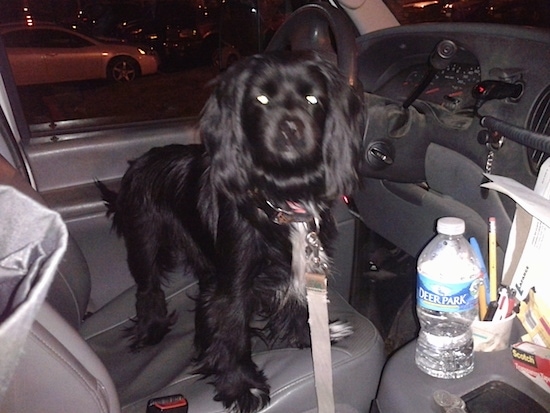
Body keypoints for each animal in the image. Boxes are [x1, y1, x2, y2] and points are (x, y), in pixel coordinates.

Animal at [98, 51, 366, 412]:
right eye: (261, 99)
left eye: (313, 99)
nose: (290, 128)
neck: (280, 193)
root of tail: (138, 164)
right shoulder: (235, 282)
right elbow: (233, 330)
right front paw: (241, 386)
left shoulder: (298, 264)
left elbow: (297, 304)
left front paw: (305, 338)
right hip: (145, 242)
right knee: (148, 289)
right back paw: (151, 329)